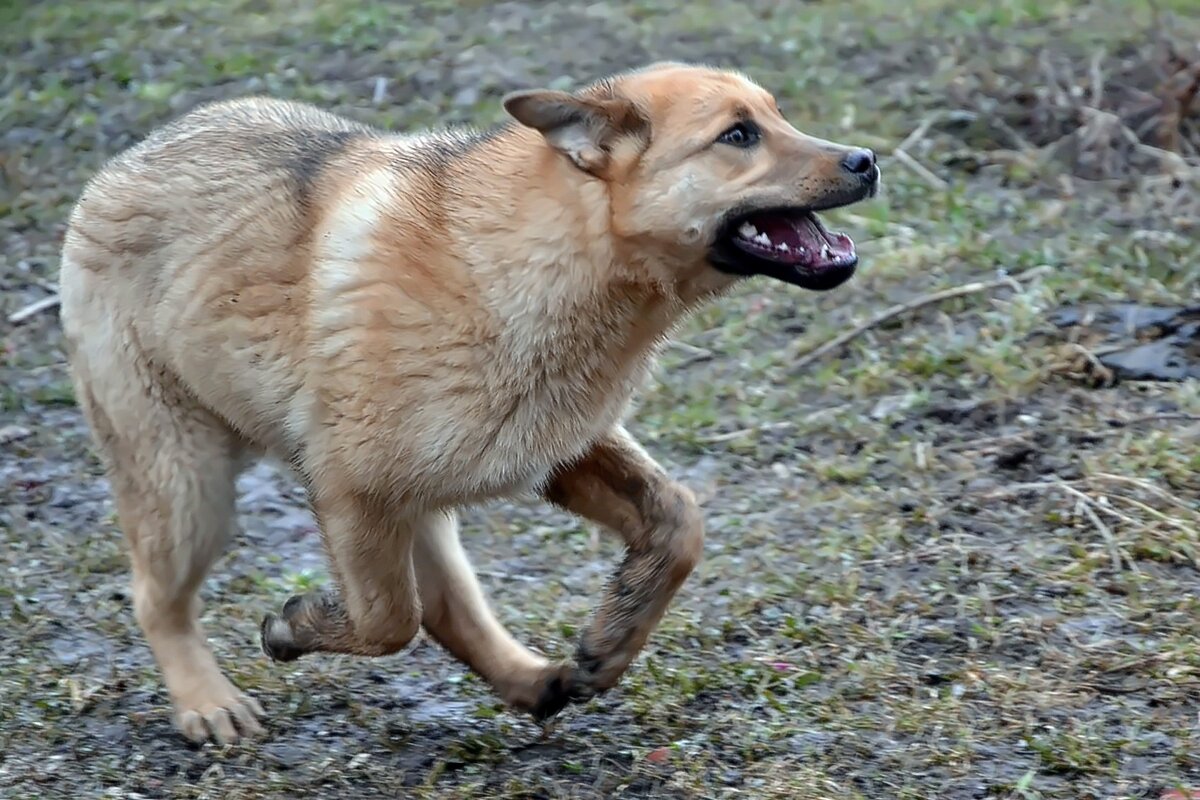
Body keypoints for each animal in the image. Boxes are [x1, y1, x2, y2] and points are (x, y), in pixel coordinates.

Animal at [58, 61, 883, 743]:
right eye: (738, 136)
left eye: (775, 116)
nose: (867, 161)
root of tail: (120, 167)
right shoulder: (351, 493)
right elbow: (388, 622)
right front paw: (293, 626)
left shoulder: (557, 447)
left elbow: (679, 522)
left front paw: (611, 641)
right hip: (189, 489)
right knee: (157, 598)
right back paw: (207, 702)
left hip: (414, 499)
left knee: (450, 610)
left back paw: (532, 680)